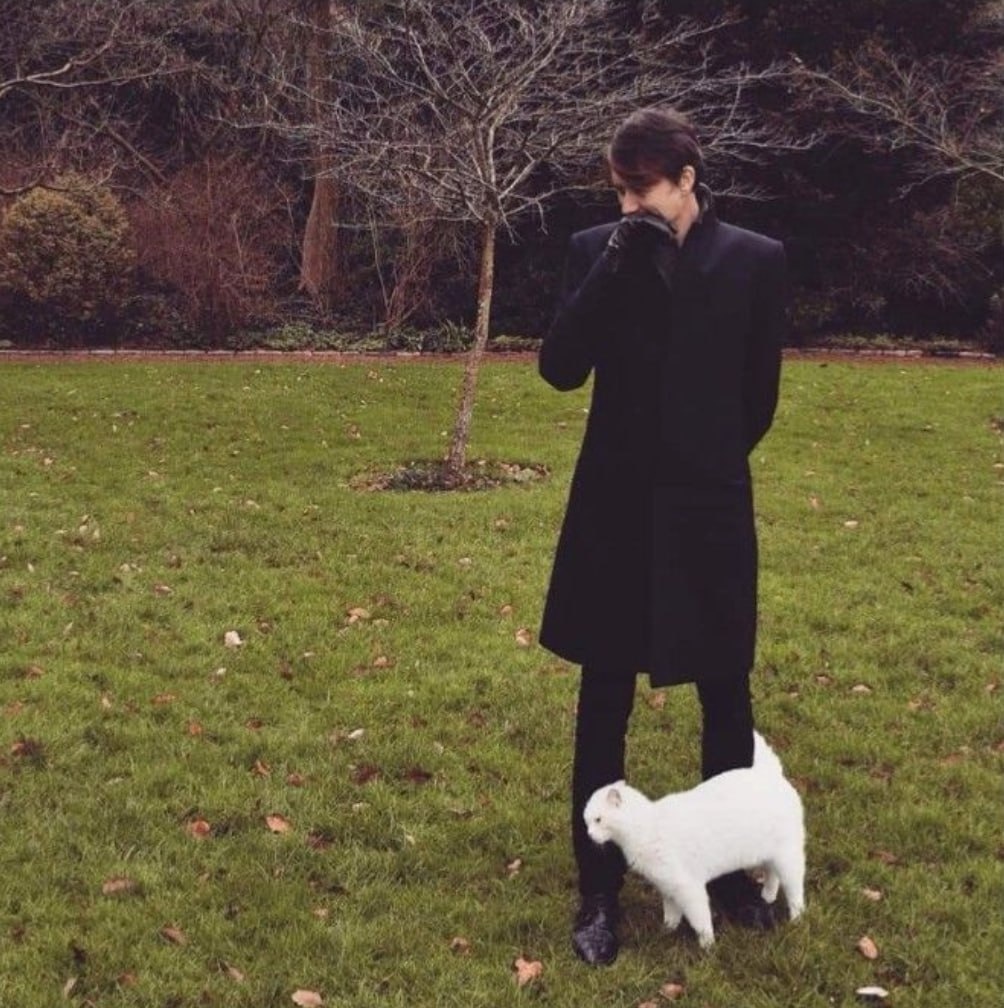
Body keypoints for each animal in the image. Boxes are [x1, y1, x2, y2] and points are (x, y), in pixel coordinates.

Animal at [583, 732, 805, 949]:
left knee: (794, 889)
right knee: (773, 876)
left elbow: (700, 920)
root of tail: (772, 775)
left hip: (788, 857)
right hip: (769, 855)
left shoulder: (689, 888)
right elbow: (671, 914)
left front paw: (708, 946)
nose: (589, 835)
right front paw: (666, 932)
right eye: (587, 821)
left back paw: (796, 919)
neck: (646, 827)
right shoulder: (668, 888)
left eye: (598, 820)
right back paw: (767, 897)